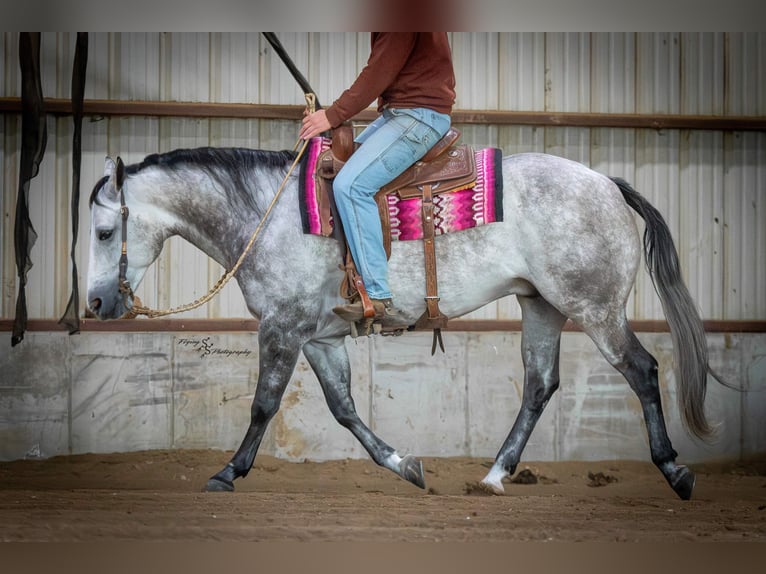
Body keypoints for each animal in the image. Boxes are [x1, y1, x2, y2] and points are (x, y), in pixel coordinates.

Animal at [86, 145, 721, 500]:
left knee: (642, 369)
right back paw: (495, 475)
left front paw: (228, 472)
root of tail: (608, 183)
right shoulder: (319, 338)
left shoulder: (282, 329)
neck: (269, 215)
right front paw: (405, 466)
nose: (94, 304)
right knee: (540, 384)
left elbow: (264, 405)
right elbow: (344, 409)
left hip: (595, 308)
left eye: (104, 231)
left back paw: (675, 471)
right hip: (541, 306)